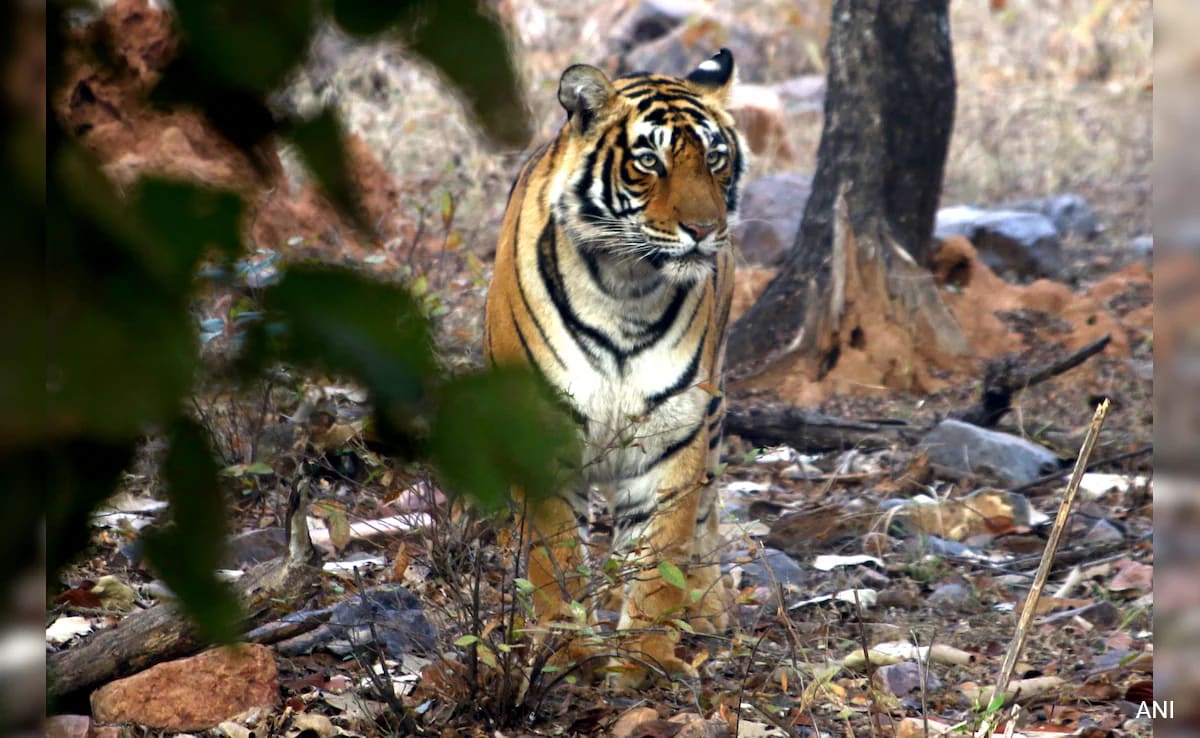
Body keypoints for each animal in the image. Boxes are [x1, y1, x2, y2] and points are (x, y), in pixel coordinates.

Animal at [482, 47, 744, 686]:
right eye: (649, 161)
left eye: (716, 159)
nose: (705, 231)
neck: (628, 287)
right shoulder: (539, 428)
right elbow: (554, 558)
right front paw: (569, 653)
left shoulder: (674, 431)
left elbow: (658, 555)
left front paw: (644, 658)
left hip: (714, 410)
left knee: (707, 509)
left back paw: (707, 607)